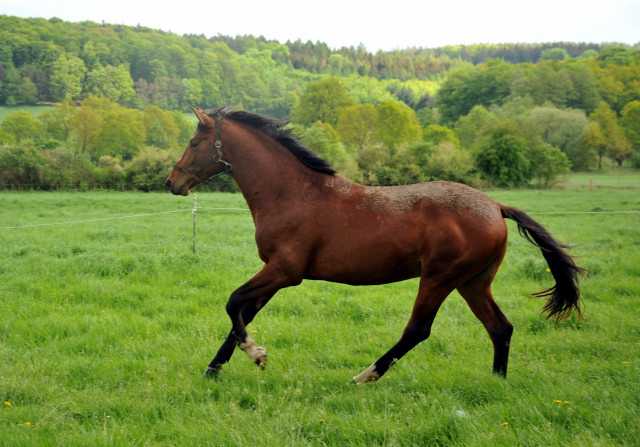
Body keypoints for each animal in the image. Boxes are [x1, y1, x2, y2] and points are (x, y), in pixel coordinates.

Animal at [166, 106, 584, 384]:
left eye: (194, 141)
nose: (173, 182)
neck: (292, 192)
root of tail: (496, 206)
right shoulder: (274, 272)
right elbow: (244, 313)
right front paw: (214, 369)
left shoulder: (285, 271)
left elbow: (233, 302)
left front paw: (256, 355)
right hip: (474, 282)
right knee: (500, 328)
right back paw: (497, 382)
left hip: (440, 278)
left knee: (418, 330)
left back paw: (365, 376)